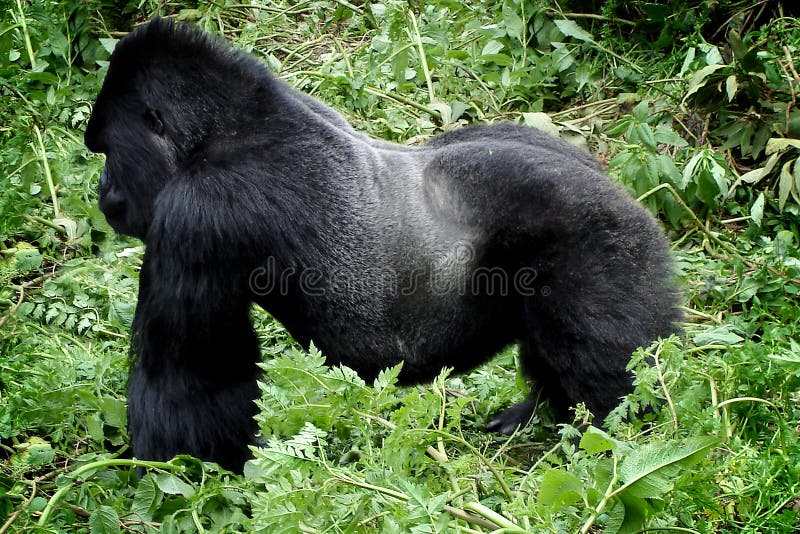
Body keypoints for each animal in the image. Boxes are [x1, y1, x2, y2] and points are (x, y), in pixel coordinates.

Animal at [84, 17, 680, 474]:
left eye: (107, 151)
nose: (103, 192)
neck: (226, 126)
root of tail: (628, 197)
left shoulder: (196, 215)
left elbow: (188, 385)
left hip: (601, 244)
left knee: (606, 381)